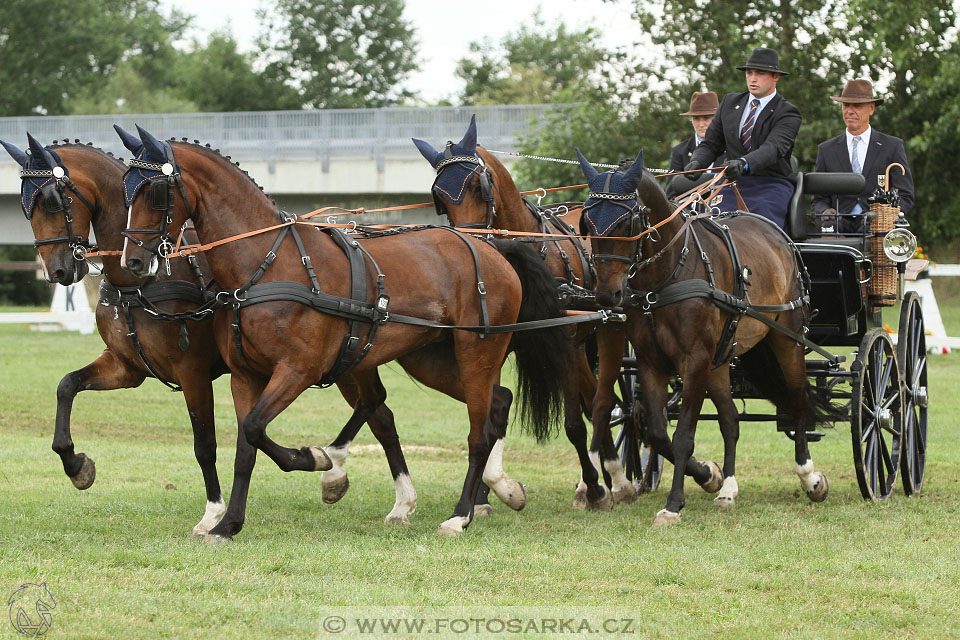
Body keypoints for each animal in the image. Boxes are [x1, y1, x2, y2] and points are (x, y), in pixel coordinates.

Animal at [119, 126, 568, 540]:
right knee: (497, 402)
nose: (133, 262)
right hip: (432, 359)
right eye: (125, 191)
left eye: (154, 192)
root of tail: (492, 249)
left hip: (478, 350)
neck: (267, 264)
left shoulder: (298, 371)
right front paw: (228, 524)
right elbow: (247, 445)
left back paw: (460, 515)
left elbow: (255, 429)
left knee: (479, 431)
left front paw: (315, 458)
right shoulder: (246, 376)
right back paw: (498, 491)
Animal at [408, 117, 632, 512]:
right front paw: (487, 493)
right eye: (440, 198)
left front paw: (594, 487)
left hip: (605, 335)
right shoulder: (495, 341)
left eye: (480, 186)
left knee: (602, 404)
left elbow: (574, 425)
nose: (473, 245)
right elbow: (490, 415)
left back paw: (612, 480)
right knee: (595, 401)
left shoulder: (564, 343)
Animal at [572, 152, 836, 528]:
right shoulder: (652, 361)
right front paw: (708, 475)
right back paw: (727, 489)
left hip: (787, 340)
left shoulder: (694, 360)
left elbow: (683, 435)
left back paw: (809, 476)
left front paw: (673, 504)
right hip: (721, 359)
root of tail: (781, 238)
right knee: (730, 420)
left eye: (627, 222)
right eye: (586, 222)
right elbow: (656, 431)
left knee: (798, 399)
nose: (608, 295)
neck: (669, 273)